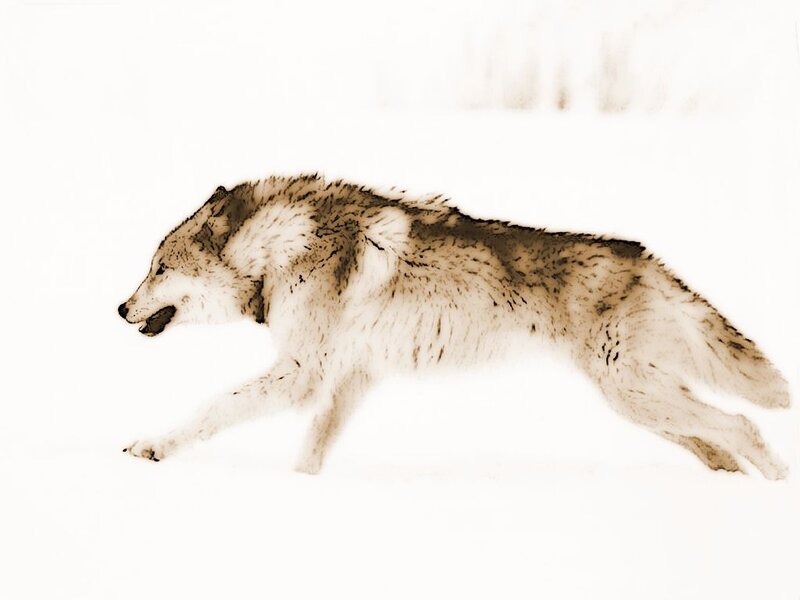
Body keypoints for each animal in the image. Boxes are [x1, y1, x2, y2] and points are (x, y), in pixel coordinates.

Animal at [118, 174, 790, 478]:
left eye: (157, 269)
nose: (120, 309)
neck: (280, 249)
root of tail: (646, 258)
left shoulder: (302, 373)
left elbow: (213, 408)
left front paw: (152, 447)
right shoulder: (351, 377)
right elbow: (312, 449)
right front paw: (301, 490)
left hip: (636, 397)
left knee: (745, 425)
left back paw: (779, 486)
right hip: (646, 408)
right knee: (721, 445)